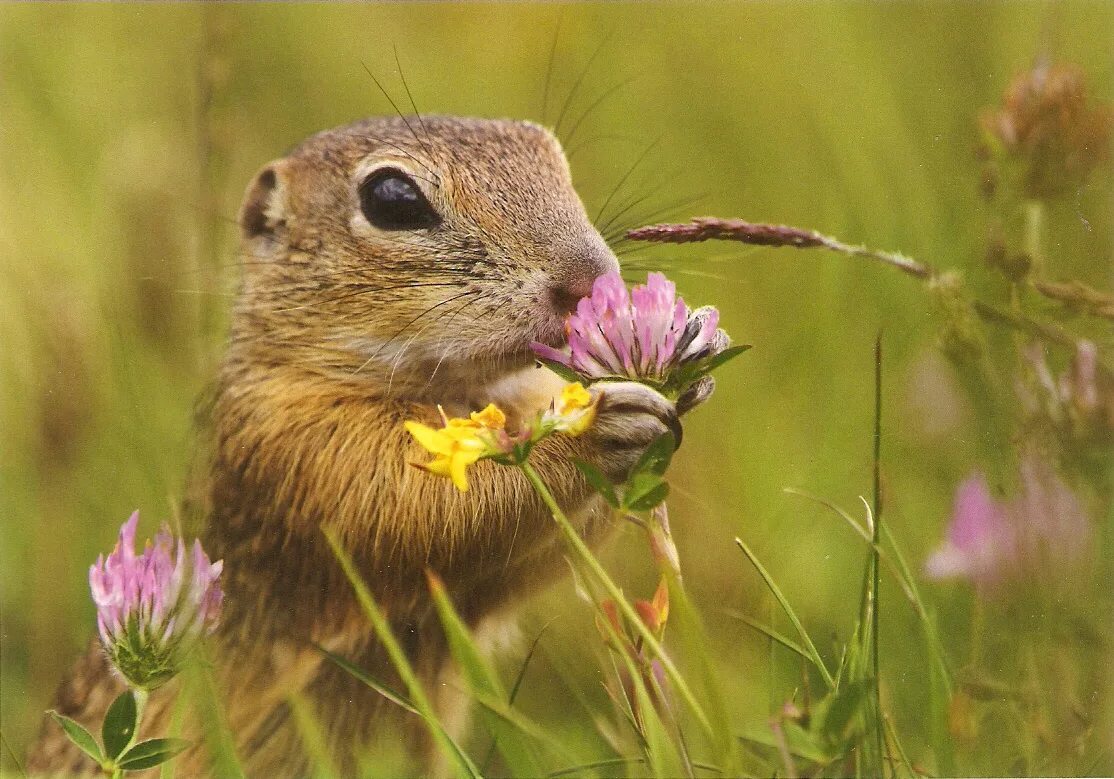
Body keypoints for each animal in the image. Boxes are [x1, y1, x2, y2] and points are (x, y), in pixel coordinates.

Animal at [30, 114, 704, 775]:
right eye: (392, 198)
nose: (590, 279)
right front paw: (600, 428)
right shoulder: (297, 450)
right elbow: (423, 510)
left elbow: (536, 560)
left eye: (554, 160)